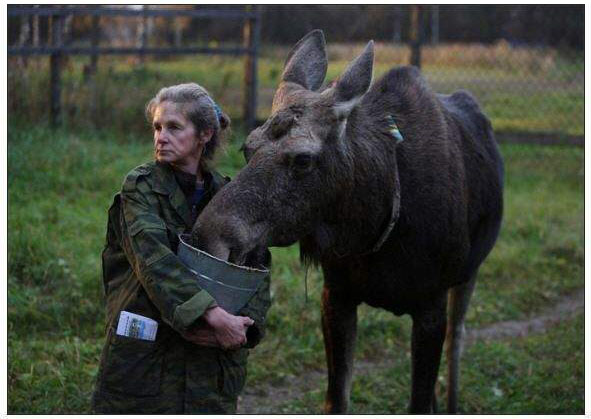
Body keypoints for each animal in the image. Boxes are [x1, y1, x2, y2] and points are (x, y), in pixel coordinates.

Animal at [193, 31, 504, 416]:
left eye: (303, 159)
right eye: (248, 148)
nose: (208, 235)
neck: (375, 228)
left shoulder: (431, 304)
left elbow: (417, 399)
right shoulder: (337, 294)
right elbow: (336, 399)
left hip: (468, 274)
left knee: (457, 342)